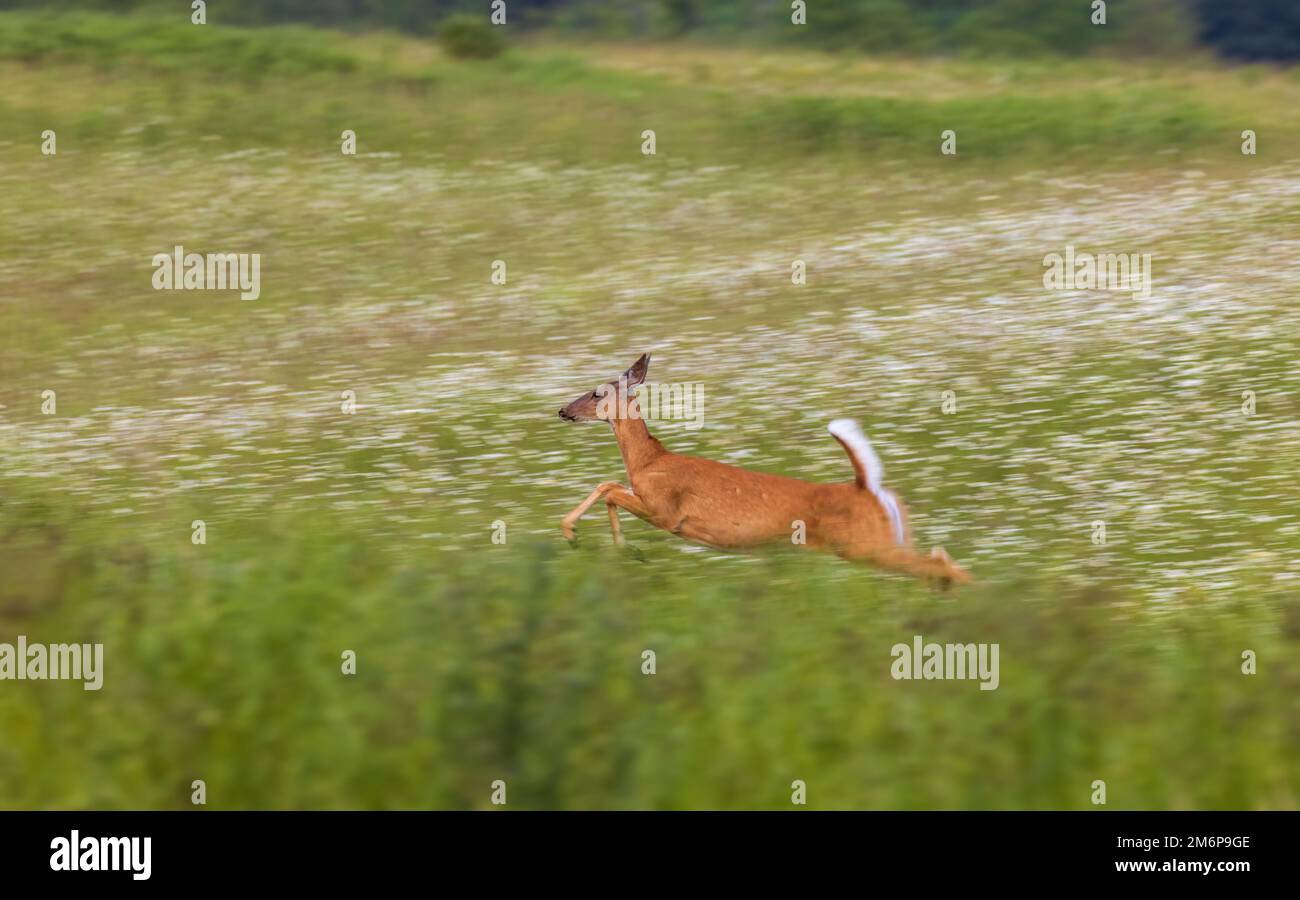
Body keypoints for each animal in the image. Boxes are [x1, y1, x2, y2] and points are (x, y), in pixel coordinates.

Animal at [559, 356, 977, 587]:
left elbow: (609, 486)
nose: (562, 411)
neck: (649, 461)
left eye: (596, 392)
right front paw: (621, 549)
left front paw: (578, 534)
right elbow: (610, 485)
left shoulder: (665, 510)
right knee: (940, 558)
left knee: (941, 565)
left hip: (866, 546)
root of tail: (866, 487)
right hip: (888, 539)